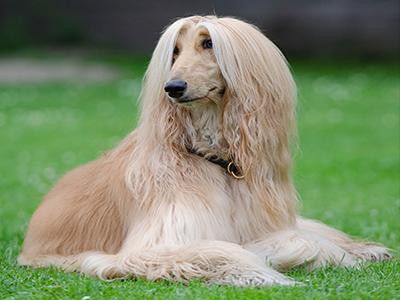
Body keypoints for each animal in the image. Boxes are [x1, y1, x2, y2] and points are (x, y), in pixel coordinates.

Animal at [18, 15, 390, 288]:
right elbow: (237, 249)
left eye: (208, 43)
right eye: (175, 50)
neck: (212, 157)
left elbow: (301, 236)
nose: (173, 87)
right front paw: (265, 269)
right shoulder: (153, 246)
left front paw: (349, 251)